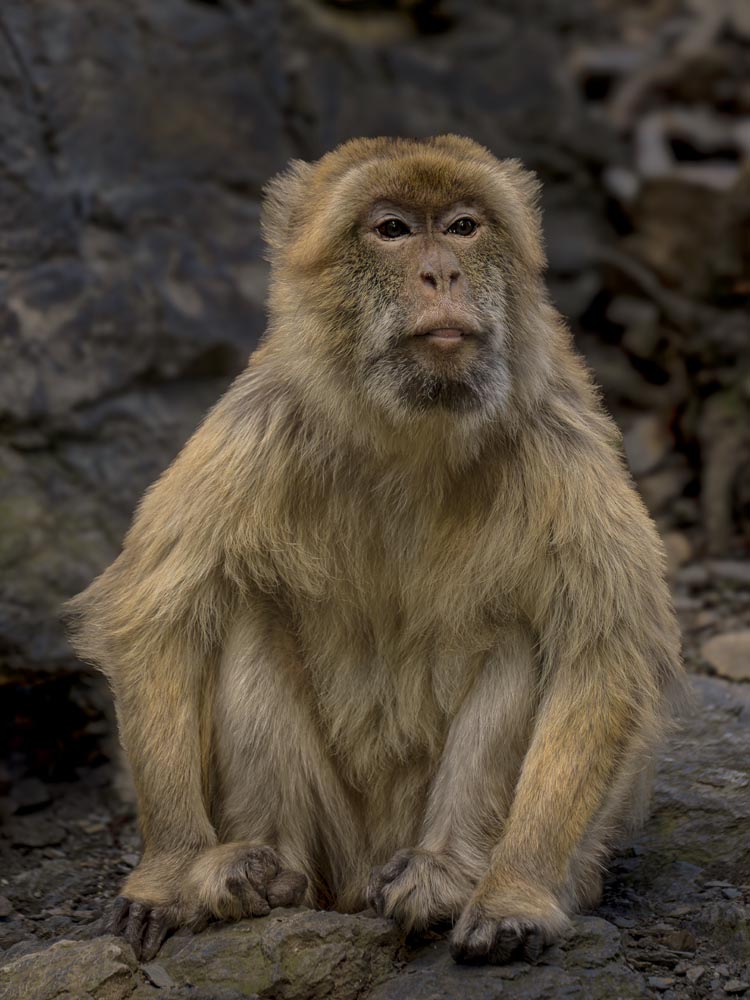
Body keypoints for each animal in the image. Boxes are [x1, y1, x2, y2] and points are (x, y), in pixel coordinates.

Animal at [66, 135, 684, 966]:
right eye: (392, 230)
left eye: (462, 227)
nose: (442, 274)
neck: (413, 431)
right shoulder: (260, 422)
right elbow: (158, 621)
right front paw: (169, 874)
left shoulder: (560, 439)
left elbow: (602, 657)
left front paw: (515, 891)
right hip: (341, 843)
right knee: (244, 616)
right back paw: (265, 871)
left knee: (525, 638)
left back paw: (448, 874)